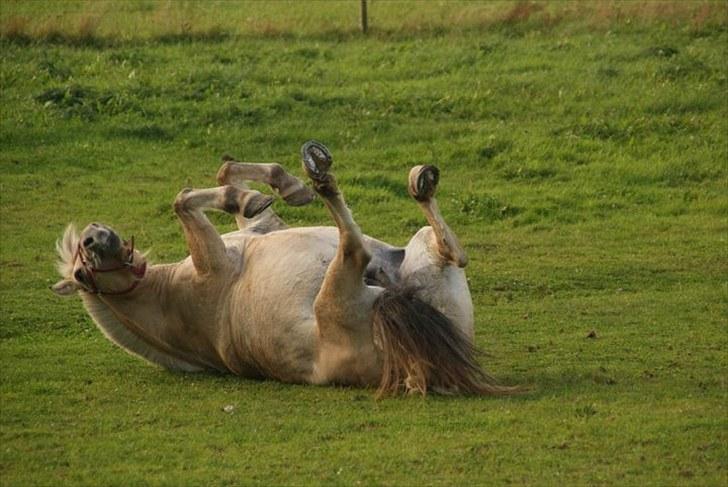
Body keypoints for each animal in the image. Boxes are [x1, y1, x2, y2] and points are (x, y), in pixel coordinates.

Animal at [52, 141, 512, 396]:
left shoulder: (258, 229)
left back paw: (415, 180)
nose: (93, 235)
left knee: (452, 250)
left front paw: (275, 189)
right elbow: (183, 199)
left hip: (424, 254)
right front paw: (277, 187)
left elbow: (226, 177)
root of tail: (420, 373)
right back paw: (326, 178)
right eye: (80, 273)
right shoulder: (212, 259)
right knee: (357, 248)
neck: (170, 297)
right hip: (335, 291)